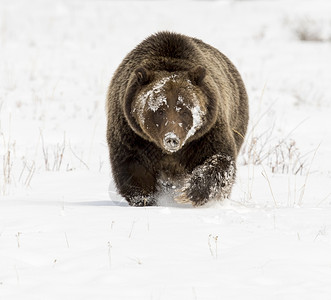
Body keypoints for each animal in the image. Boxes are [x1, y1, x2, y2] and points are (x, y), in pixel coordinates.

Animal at [107, 31, 249, 207]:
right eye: (159, 110)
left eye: (184, 109)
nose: (171, 138)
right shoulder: (132, 134)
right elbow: (133, 165)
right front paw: (145, 198)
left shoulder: (204, 133)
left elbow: (219, 158)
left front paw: (190, 192)